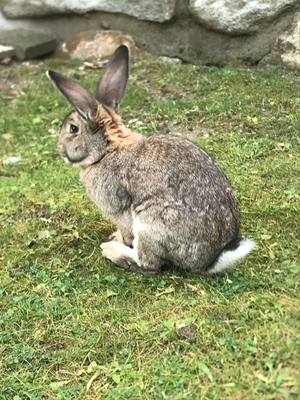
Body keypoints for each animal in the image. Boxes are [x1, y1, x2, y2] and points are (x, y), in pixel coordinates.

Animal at [45, 44, 254, 276]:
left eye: (73, 129)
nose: (60, 150)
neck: (107, 150)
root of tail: (209, 260)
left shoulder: (119, 209)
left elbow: (126, 231)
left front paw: (118, 239)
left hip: (151, 222)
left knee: (150, 265)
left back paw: (112, 251)